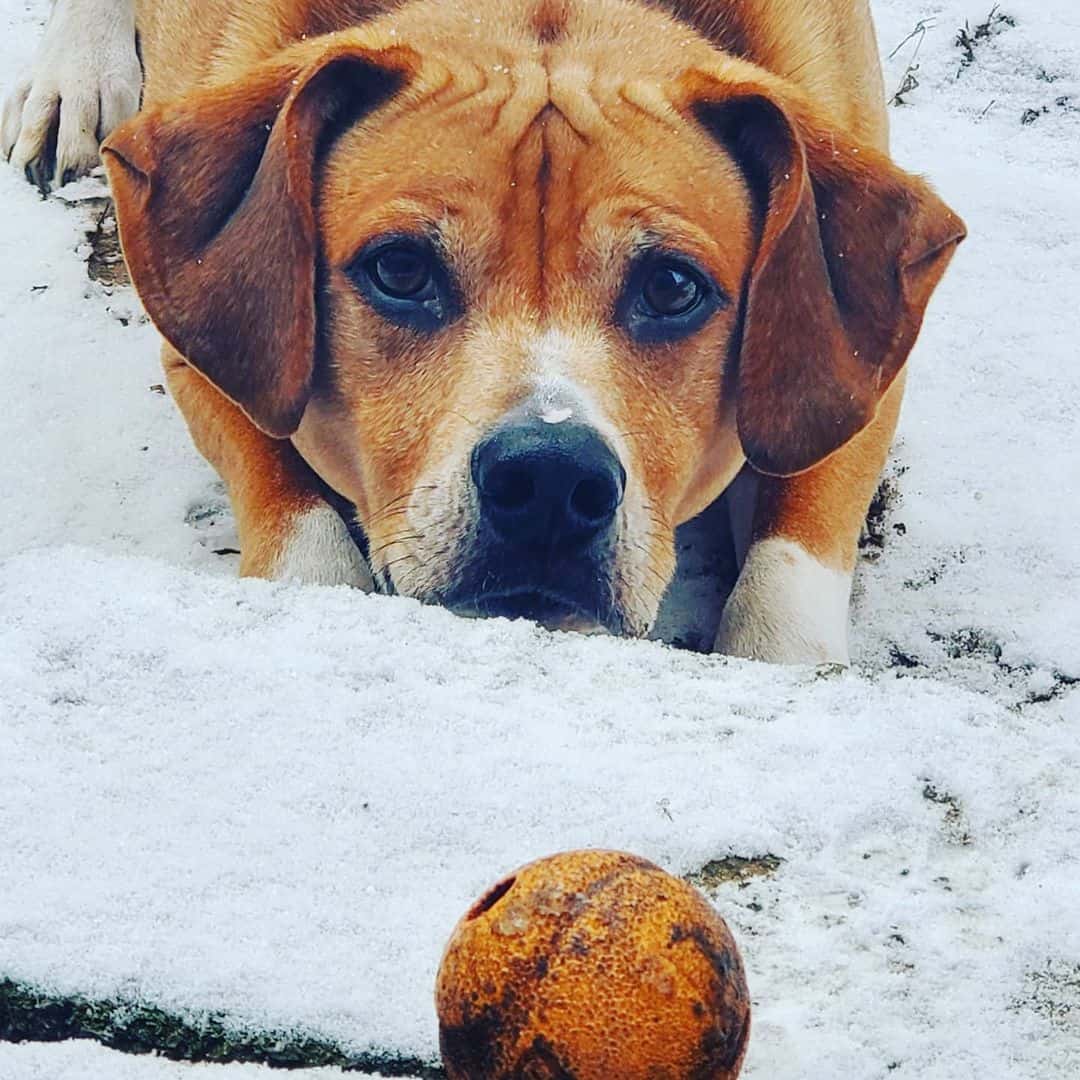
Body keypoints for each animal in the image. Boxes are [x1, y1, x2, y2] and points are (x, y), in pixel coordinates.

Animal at [0, 0, 963, 660]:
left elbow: (789, 571)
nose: (550, 481)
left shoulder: (858, 368)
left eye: (672, 286)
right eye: (399, 270)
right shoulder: (202, 350)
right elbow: (296, 519)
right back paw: (75, 70)